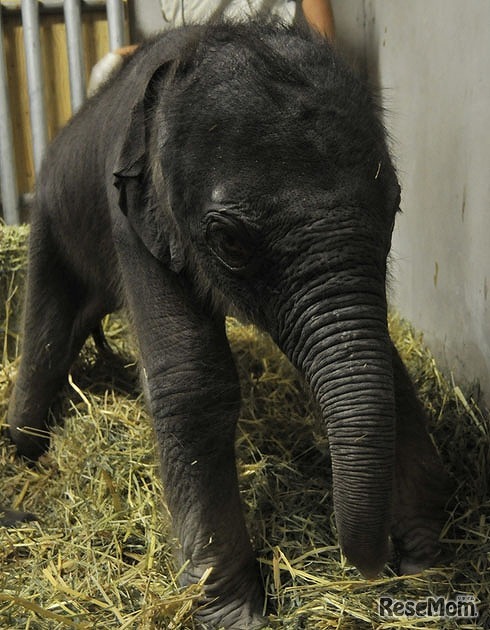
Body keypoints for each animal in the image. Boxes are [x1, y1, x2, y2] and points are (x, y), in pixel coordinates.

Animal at [8, 21, 452, 630]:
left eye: (396, 204)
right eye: (230, 242)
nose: (376, 565)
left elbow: (381, 355)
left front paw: (425, 558)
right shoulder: (131, 220)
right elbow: (192, 380)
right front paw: (233, 615)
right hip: (53, 218)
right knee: (47, 338)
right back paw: (24, 454)